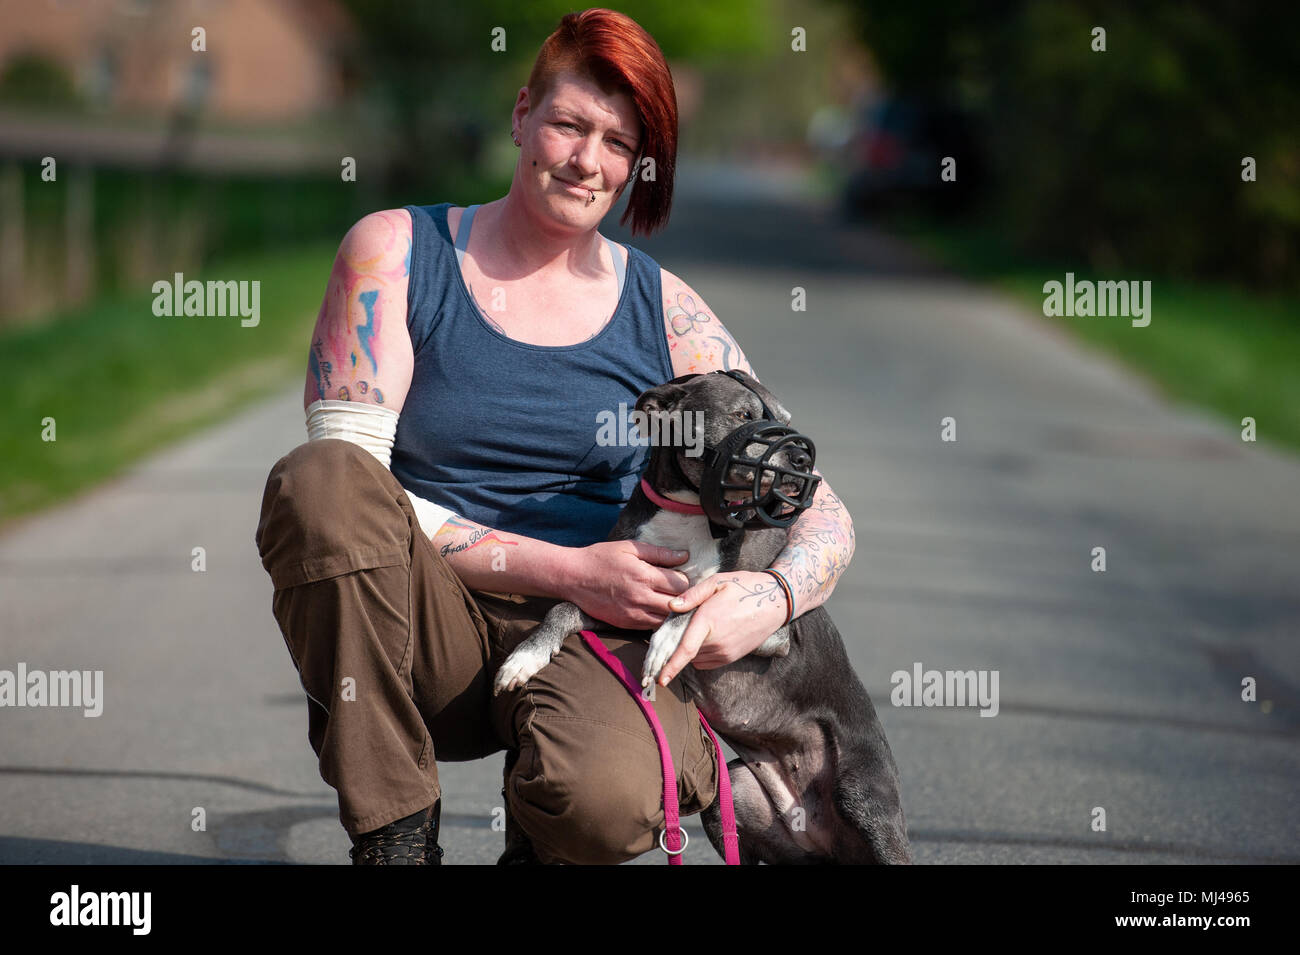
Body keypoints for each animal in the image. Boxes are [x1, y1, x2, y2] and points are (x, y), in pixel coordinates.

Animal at [491, 374, 909, 867]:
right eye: (744, 415)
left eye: (785, 419)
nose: (804, 458)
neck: (690, 515)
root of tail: (828, 845)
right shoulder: (622, 600)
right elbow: (563, 608)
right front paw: (525, 657)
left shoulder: (769, 625)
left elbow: (695, 602)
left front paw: (667, 643)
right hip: (734, 799)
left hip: (863, 800)